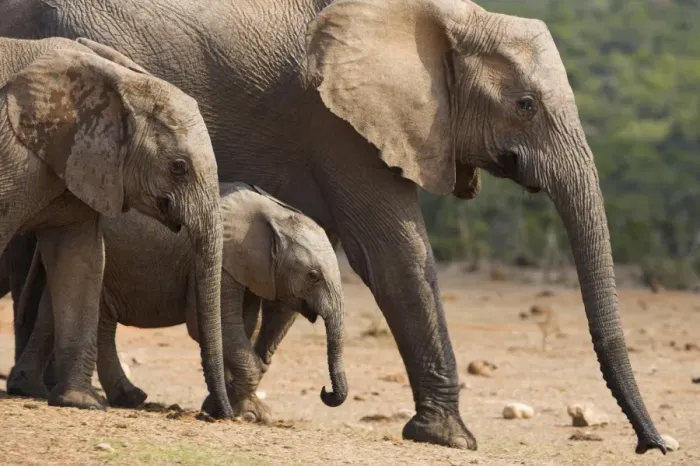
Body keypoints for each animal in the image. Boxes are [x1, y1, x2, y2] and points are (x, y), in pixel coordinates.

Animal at [0, 36, 231, 418]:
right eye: (179, 167)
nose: (218, 415)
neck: (119, 83)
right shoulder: (14, 155)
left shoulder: (81, 162)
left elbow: (81, 260)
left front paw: (81, 402)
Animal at [12, 182, 347, 421]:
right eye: (313, 275)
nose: (325, 392)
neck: (272, 213)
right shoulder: (221, 262)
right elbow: (213, 328)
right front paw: (250, 414)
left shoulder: (248, 270)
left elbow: (242, 326)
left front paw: (227, 405)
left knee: (61, 313)